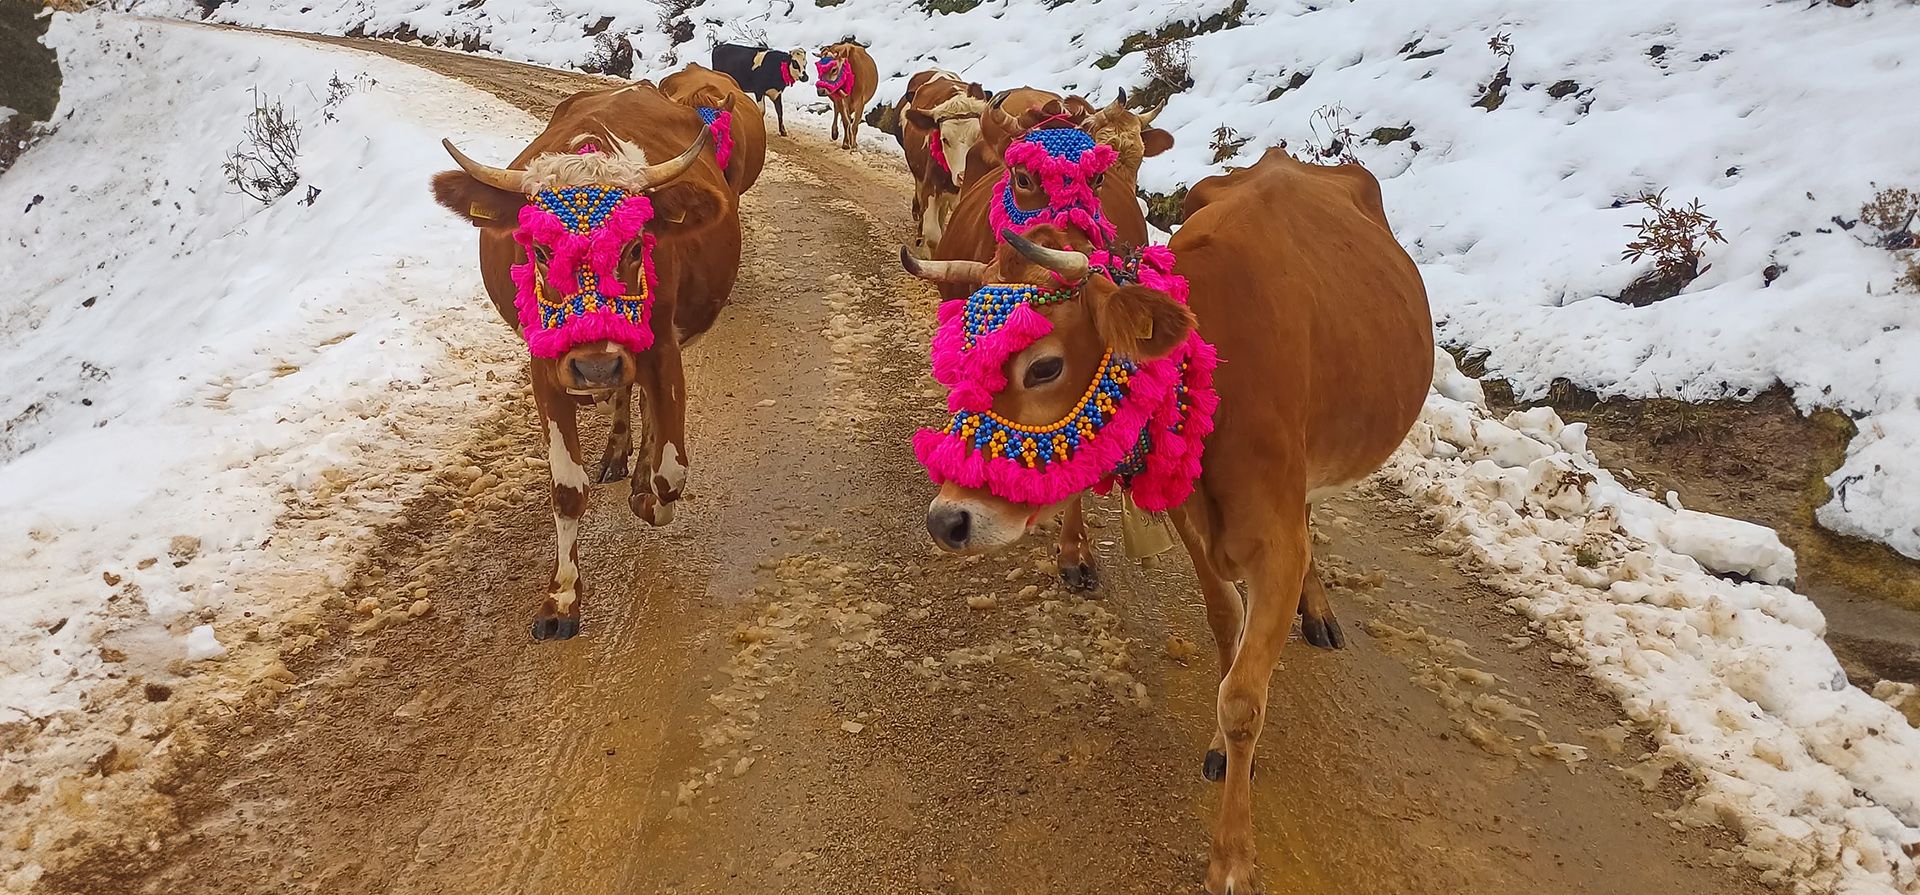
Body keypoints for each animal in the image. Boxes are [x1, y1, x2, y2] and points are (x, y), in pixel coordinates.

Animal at [428, 84, 742, 641]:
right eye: (541, 251)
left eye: (635, 246)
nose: (595, 367)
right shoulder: (545, 364)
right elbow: (567, 489)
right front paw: (561, 599)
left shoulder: (662, 348)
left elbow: (671, 474)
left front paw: (647, 495)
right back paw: (618, 454)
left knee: (645, 409)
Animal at [899, 146, 1435, 893]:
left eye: (1044, 366)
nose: (947, 519)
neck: (1220, 366)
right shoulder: (1191, 517)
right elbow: (1224, 623)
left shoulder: (1275, 545)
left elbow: (1244, 699)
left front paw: (1232, 857)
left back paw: (1320, 610)